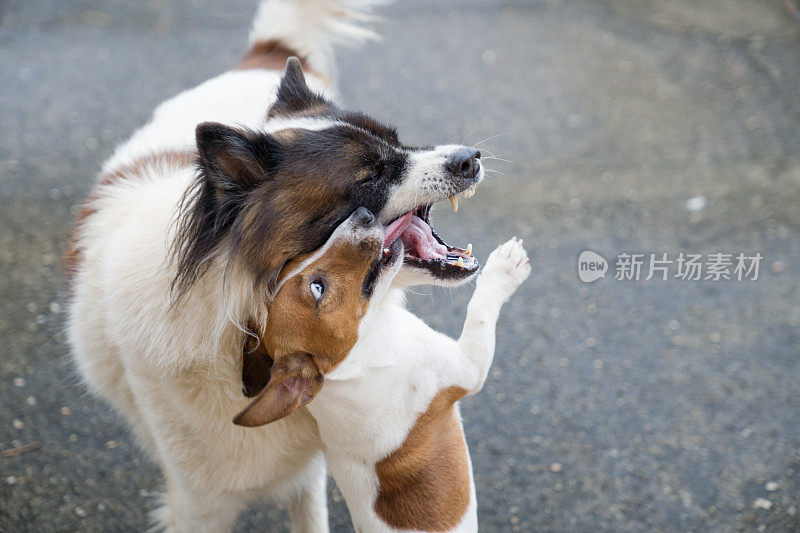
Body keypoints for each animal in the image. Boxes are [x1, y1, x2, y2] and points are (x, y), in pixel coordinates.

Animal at [65, 1, 494, 532]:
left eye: (398, 143)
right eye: (371, 175)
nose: (470, 158)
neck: (242, 331)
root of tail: (263, 53)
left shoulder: (307, 470)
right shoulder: (198, 503)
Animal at [234, 213, 528, 532]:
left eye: (299, 258)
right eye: (317, 287)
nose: (362, 214)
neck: (357, 358)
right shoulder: (469, 366)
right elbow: (481, 310)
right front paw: (506, 266)